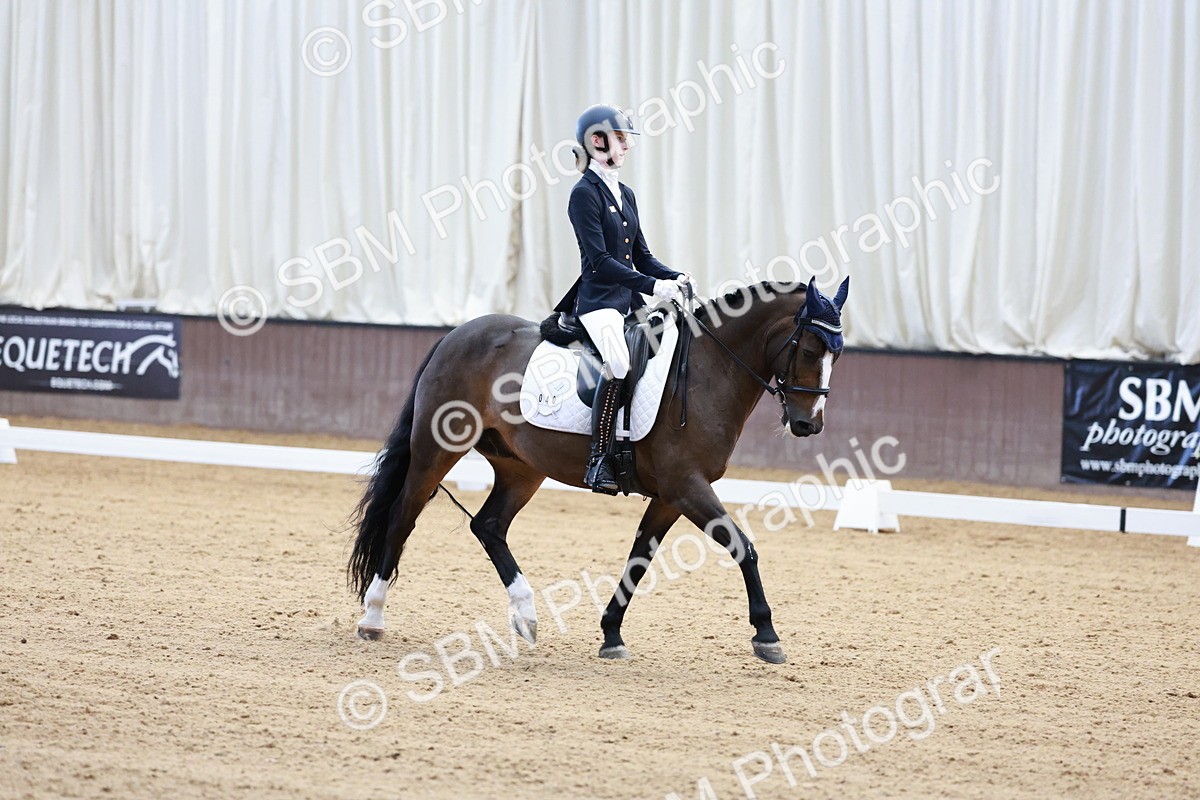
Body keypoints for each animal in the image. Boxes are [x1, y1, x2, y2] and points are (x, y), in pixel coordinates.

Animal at [348, 276, 849, 664]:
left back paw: (526, 615)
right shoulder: (686, 486)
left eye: (837, 355)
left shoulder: (671, 496)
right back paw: (373, 617)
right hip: (436, 450)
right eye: (810, 349)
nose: (808, 424)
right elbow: (743, 547)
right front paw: (767, 636)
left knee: (488, 525)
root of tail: (455, 335)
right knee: (403, 516)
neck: (709, 371)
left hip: (520, 467)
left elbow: (639, 559)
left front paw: (611, 634)